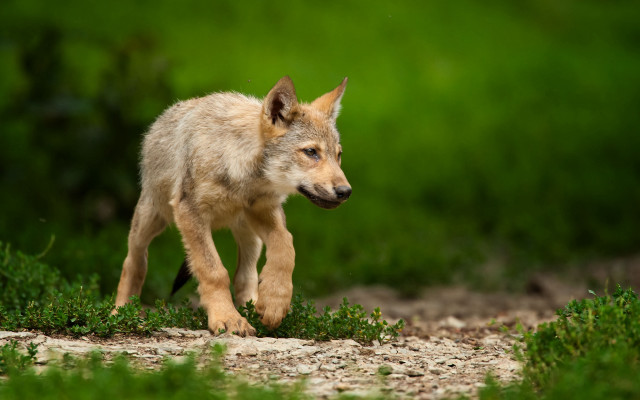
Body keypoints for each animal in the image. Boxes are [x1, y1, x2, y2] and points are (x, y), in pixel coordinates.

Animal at [113, 76, 351, 336]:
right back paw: (122, 312)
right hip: (150, 219)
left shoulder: (264, 210)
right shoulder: (190, 214)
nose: (346, 192)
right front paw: (227, 318)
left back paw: (254, 306)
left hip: (250, 236)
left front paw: (274, 302)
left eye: (338, 155)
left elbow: (286, 246)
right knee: (134, 261)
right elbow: (214, 271)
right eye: (311, 152)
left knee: (245, 276)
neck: (243, 174)